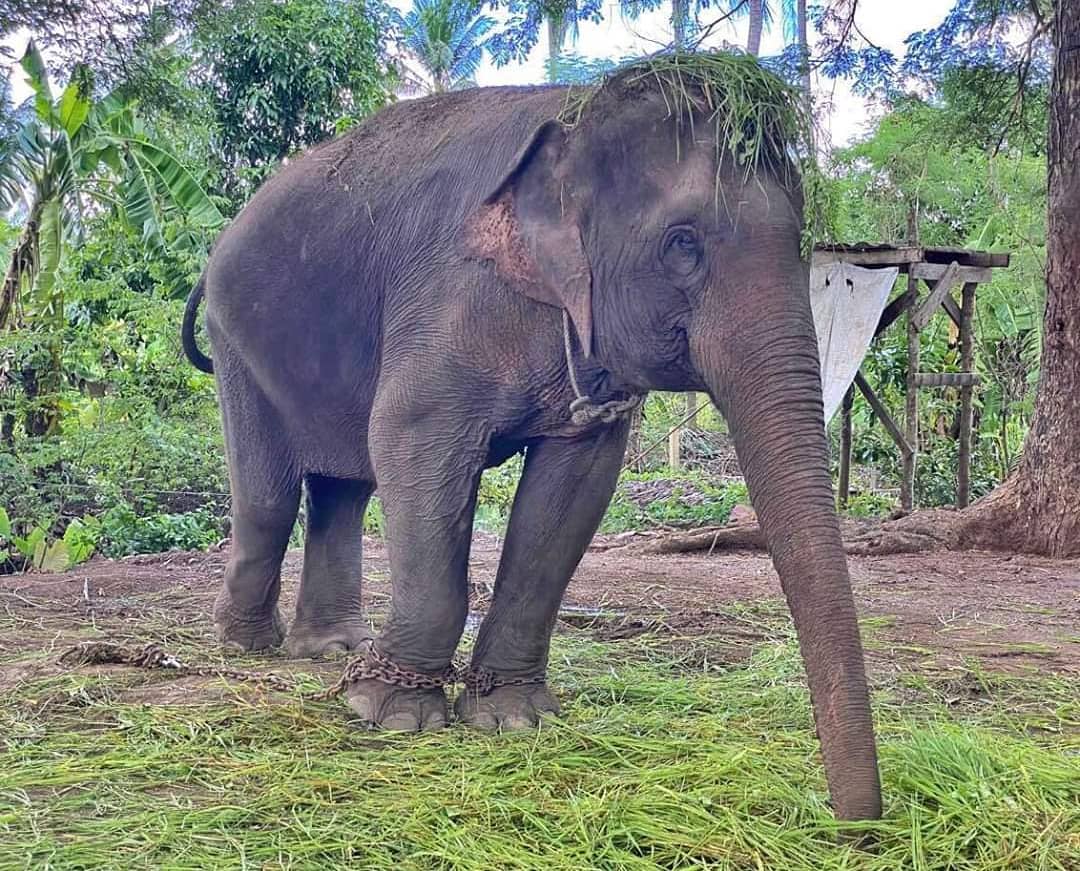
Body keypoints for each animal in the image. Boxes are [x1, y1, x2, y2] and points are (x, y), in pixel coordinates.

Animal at [181, 57, 882, 821]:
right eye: (682, 245)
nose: (856, 825)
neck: (576, 120)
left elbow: (570, 491)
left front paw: (513, 718)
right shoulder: (448, 295)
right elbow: (410, 438)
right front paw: (391, 714)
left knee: (343, 489)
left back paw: (332, 648)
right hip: (236, 338)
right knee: (271, 496)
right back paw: (248, 644)